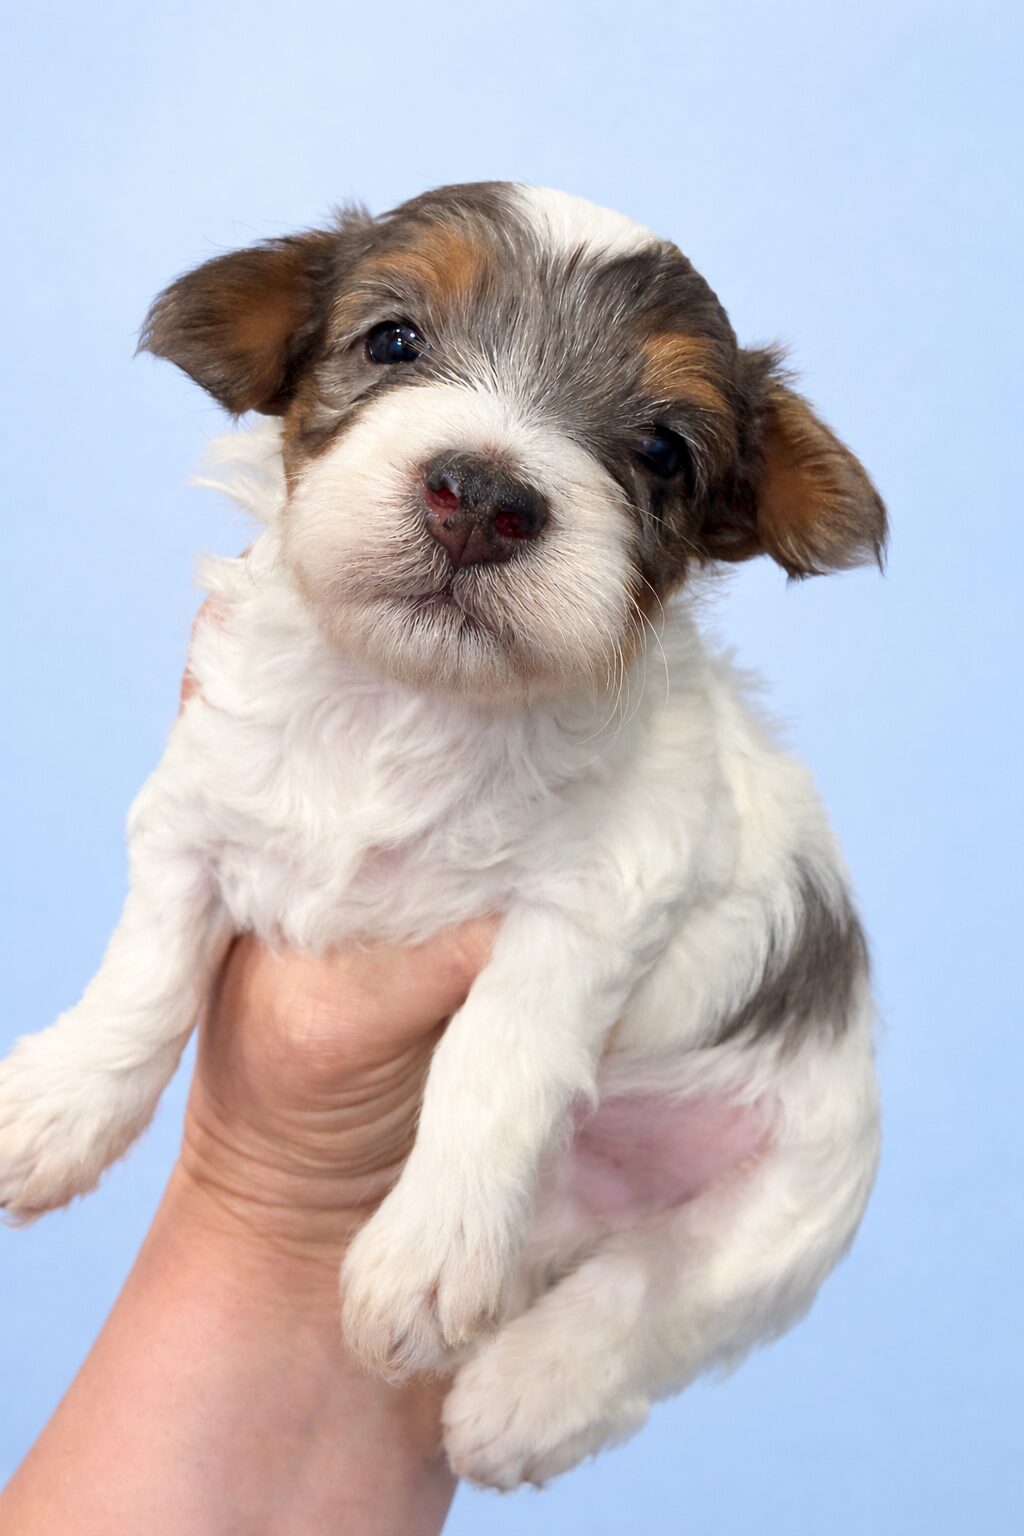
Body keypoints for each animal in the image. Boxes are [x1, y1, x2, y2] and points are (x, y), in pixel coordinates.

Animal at [0, 183, 886, 1489]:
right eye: (393, 342)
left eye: (662, 452)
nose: (482, 496)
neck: (409, 702)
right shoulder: (195, 802)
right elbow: (147, 968)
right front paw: (60, 1107)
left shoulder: (603, 890)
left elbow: (496, 1053)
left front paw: (427, 1253)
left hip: (787, 1213)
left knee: (652, 1298)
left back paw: (520, 1396)